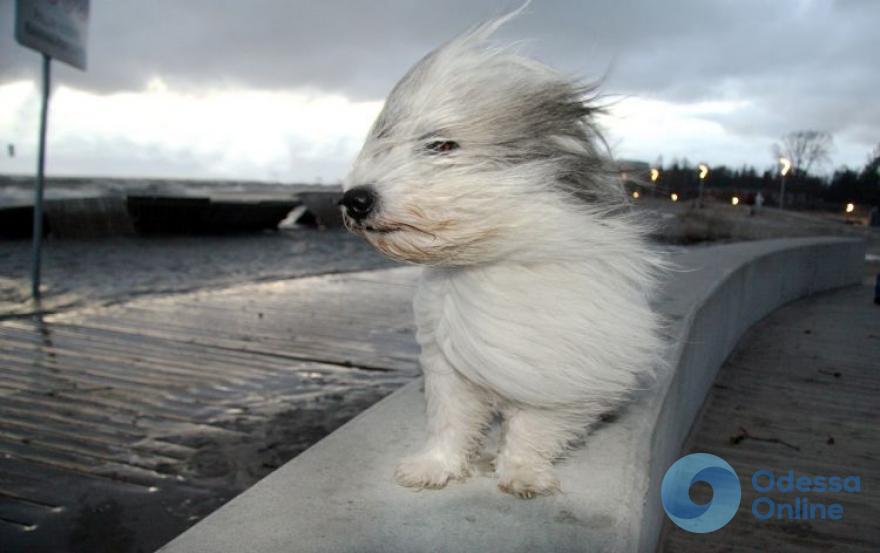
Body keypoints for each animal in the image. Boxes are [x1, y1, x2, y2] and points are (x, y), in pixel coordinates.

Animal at [340, 10, 664, 498]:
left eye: (441, 145)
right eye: (385, 141)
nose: (354, 200)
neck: (490, 258)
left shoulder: (554, 365)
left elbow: (534, 426)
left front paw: (522, 473)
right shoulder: (447, 364)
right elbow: (450, 422)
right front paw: (435, 466)